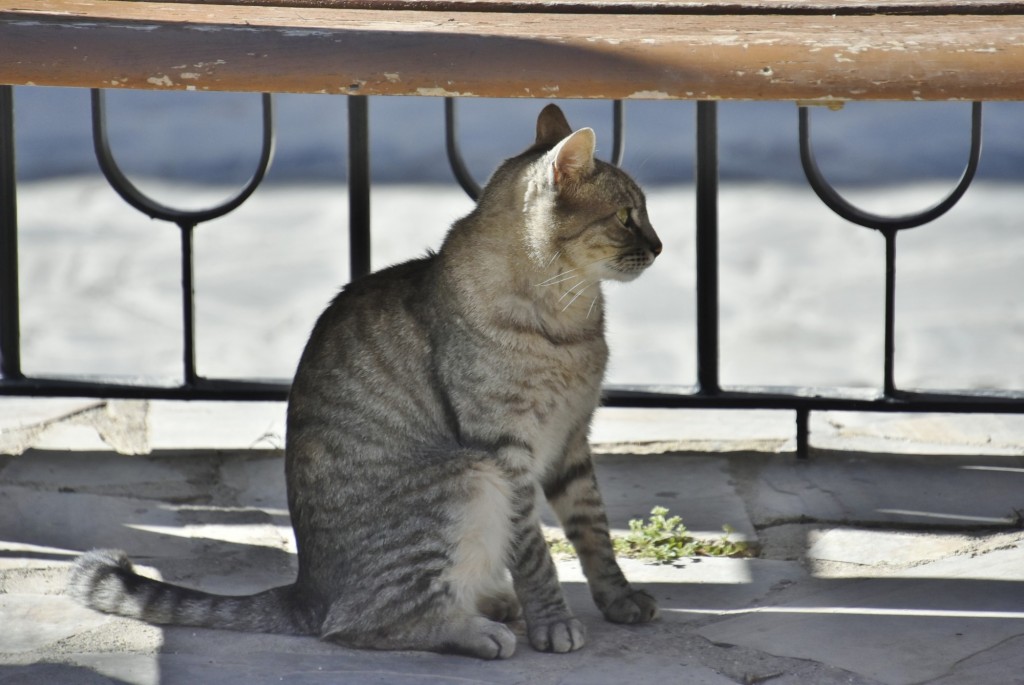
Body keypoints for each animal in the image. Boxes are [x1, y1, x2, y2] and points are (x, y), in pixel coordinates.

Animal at [70, 104, 663, 659]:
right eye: (626, 216)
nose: (659, 246)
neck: (572, 320)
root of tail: (305, 592)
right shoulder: (506, 451)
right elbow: (536, 553)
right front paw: (554, 621)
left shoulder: (571, 441)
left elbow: (593, 530)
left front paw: (620, 599)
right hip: (465, 479)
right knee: (362, 623)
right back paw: (476, 631)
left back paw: (491, 603)